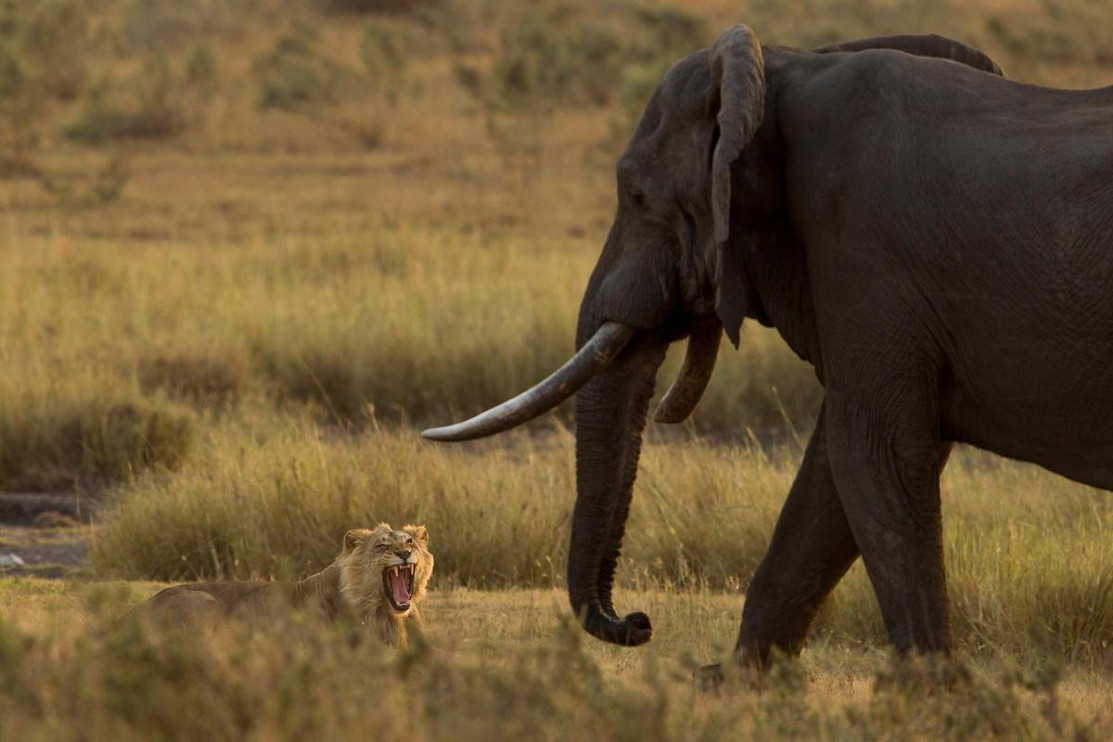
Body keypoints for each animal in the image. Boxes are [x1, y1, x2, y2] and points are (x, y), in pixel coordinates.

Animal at [424, 25, 1113, 669]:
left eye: (636, 196)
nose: (639, 623)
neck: (784, 68)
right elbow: (831, 477)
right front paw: (729, 681)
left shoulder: (866, 260)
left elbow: (873, 455)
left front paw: (937, 693)